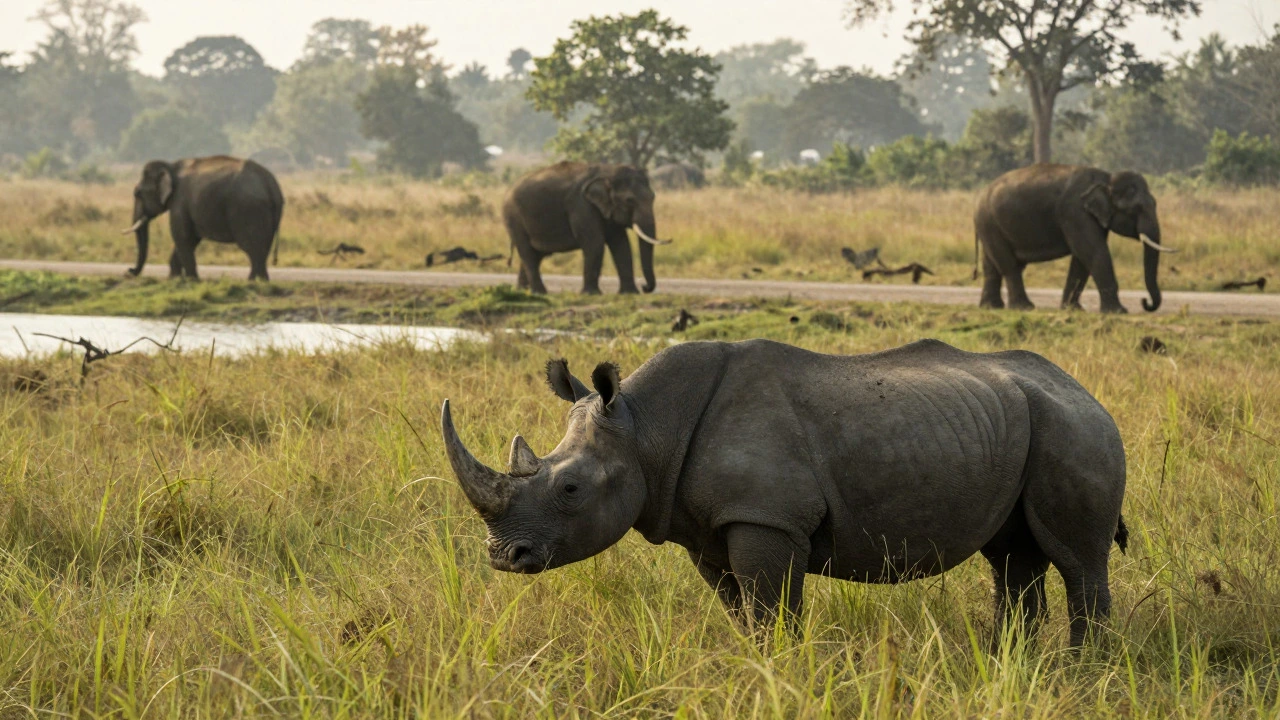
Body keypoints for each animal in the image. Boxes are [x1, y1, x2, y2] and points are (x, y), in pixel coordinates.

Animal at [441, 339, 1128, 646]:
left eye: (571, 487)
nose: (504, 557)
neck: (646, 428)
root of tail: (1086, 391)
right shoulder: (709, 527)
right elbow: (740, 609)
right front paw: (754, 664)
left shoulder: (766, 517)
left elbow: (772, 608)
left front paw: (782, 669)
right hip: (1025, 425)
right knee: (1013, 555)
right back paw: (1019, 660)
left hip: (1075, 429)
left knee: (1075, 558)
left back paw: (1082, 666)